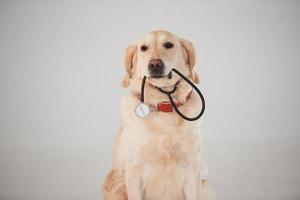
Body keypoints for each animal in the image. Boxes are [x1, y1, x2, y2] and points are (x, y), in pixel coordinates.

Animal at [103, 30, 211, 200]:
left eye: (168, 45)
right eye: (143, 48)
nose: (154, 64)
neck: (164, 105)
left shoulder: (192, 171)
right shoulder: (133, 173)